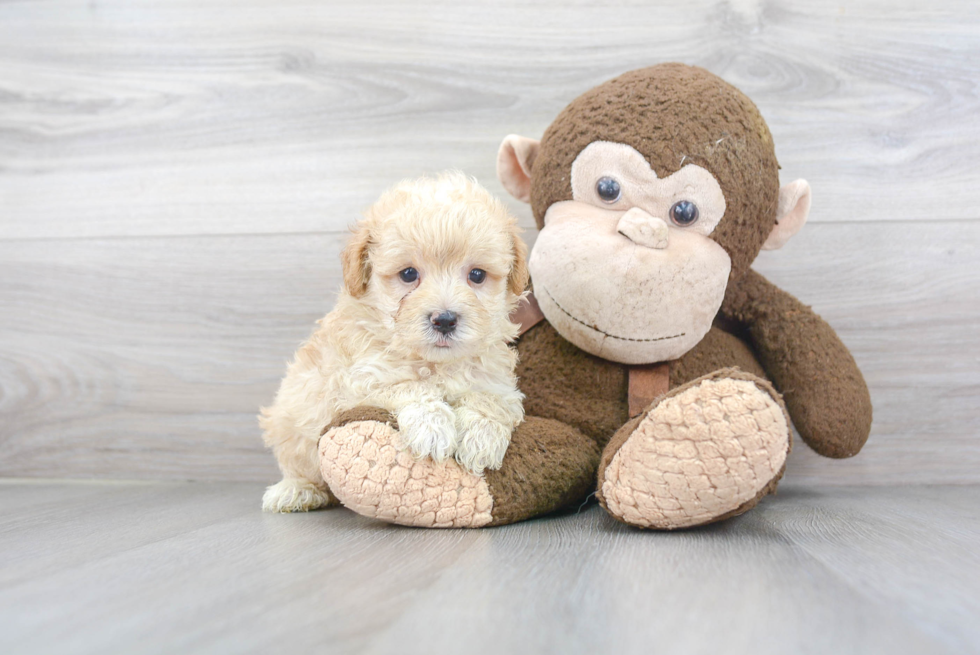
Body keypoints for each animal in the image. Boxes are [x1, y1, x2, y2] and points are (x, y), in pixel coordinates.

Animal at [256, 172, 524, 516]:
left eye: (477, 275)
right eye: (408, 274)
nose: (445, 319)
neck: (436, 364)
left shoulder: (497, 382)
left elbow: (491, 401)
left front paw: (481, 438)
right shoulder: (361, 381)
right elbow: (409, 387)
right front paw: (432, 428)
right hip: (290, 421)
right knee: (301, 468)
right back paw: (294, 491)